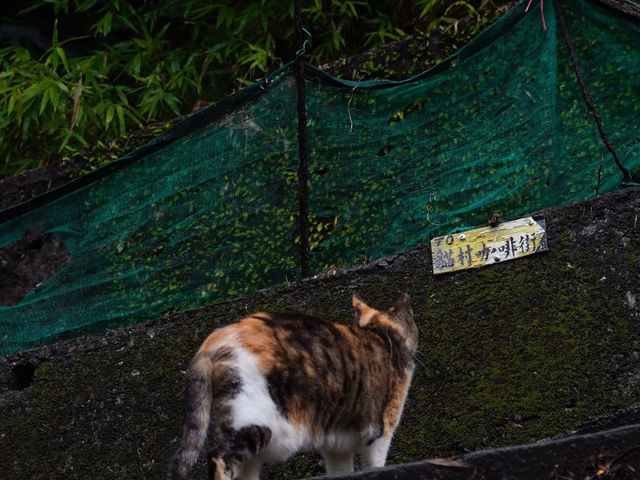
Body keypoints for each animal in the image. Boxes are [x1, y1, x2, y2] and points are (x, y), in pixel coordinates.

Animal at [169, 292, 420, 480]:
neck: (382, 333)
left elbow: (340, 471)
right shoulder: (382, 430)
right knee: (218, 456)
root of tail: (219, 334)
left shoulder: (336, 446)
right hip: (261, 422)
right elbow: (376, 464)